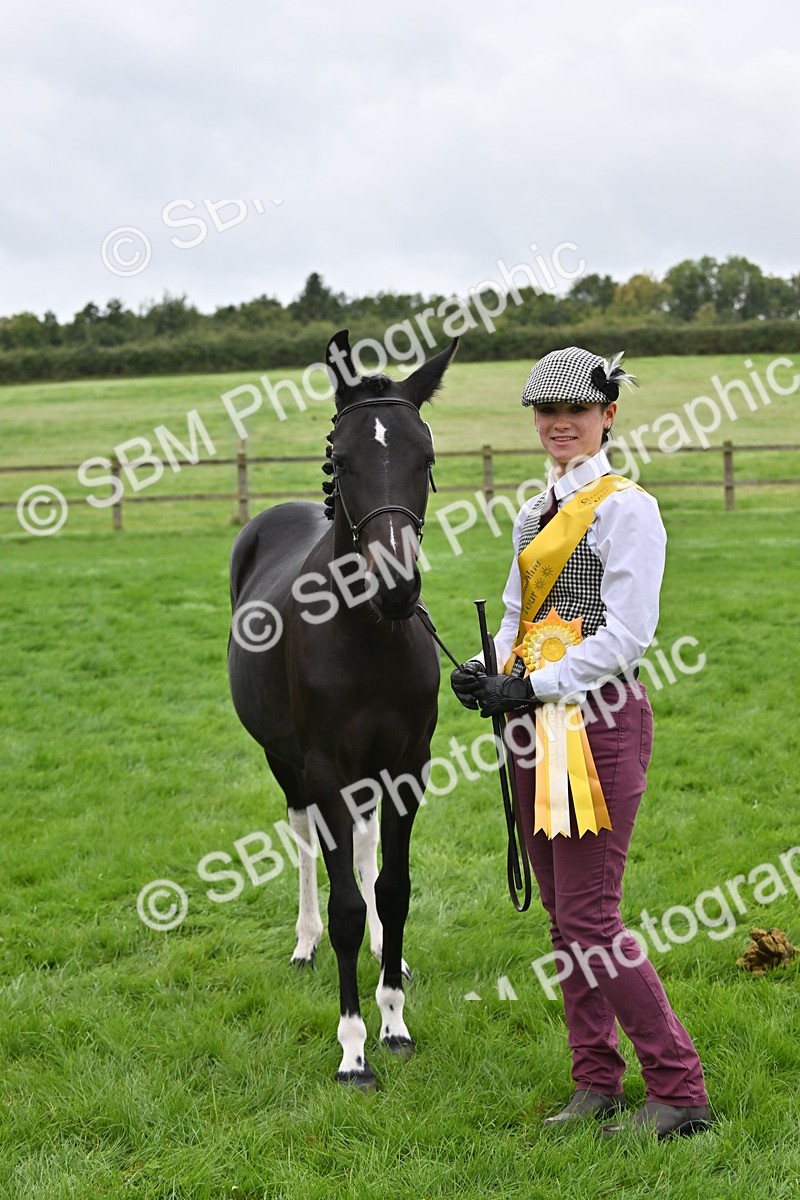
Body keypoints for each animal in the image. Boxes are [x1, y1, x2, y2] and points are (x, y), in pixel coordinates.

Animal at [227, 329, 458, 1087]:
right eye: (342, 460)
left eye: (425, 457)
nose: (397, 586)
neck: (368, 636)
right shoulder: (324, 767)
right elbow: (348, 907)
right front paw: (353, 1046)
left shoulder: (407, 769)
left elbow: (392, 888)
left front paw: (393, 1021)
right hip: (288, 762)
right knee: (304, 836)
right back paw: (304, 944)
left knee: (361, 845)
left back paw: (393, 956)